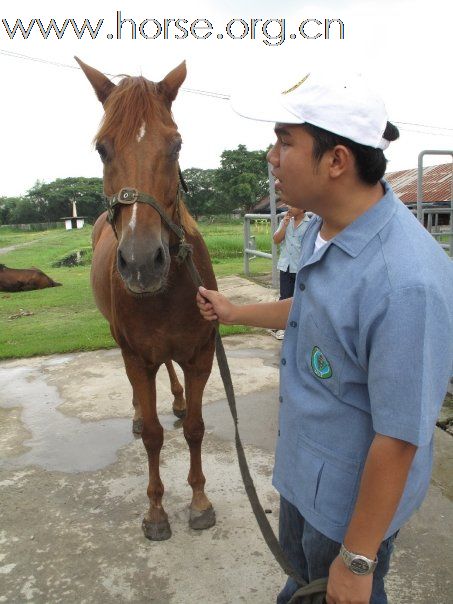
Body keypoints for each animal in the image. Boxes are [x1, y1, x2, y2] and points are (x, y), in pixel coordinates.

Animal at [76, 57, 217, 544]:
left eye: (176, 145)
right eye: (102, 149)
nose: (141, 263)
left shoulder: (200, 354)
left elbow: (195, 428)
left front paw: (199, 502)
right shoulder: (137, 358)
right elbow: (155, 437)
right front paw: (156, 512)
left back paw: (175, 399)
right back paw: (142, 413)